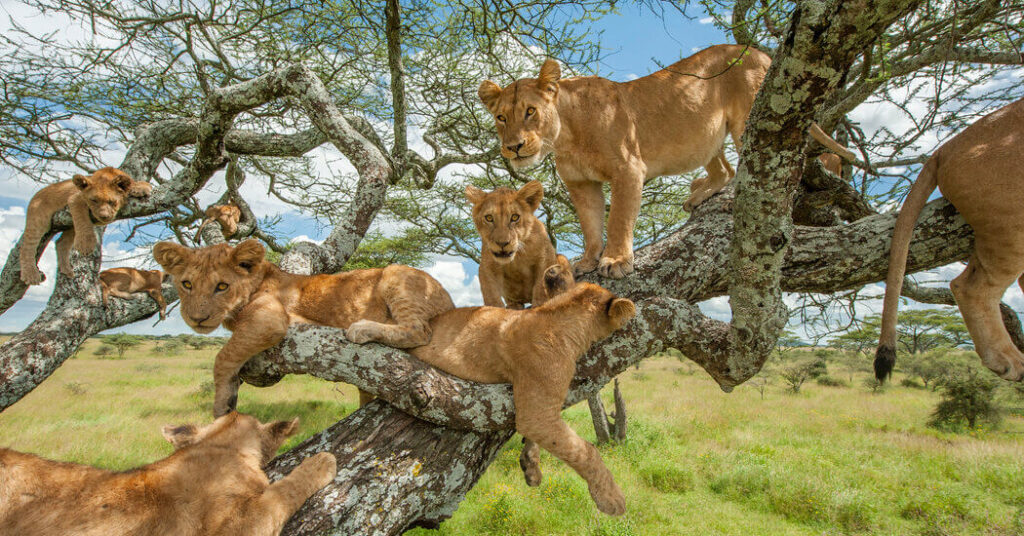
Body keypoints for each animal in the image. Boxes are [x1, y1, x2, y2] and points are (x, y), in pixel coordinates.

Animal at [19, 167, 152, 285]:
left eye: (111, 201)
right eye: (94, 200)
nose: (104, 216)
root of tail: (36, 194)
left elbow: (136, 183)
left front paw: (140, 187)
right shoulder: (75, 198)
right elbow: (82, 219)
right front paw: (86, 244)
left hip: (70, 227)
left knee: (61, 243)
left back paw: (66, 270)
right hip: (38, 220)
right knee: (27, 247)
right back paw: (30, 275)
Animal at [153, 239, 454, 416]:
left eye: (222, 286)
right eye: (187, 284)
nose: (197, 318)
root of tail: (449, 299)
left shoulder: (271, 320)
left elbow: (223, 356)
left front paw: (221, 406)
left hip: (395, 272)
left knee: (418, 330)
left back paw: (362, 328)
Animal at [465, 180, 575, 309]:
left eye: (514, 217)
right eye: (489, 218)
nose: (502, 243)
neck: (517, 256)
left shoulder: (546, 257)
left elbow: (540, 287)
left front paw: (539, 305)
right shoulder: (487, 265)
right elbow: (491, 294)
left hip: (561, 259)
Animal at [478, 45, 854, 278]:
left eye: (530, 111)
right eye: (500, 117)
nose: (513, 147)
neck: (566, 137)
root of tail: (758, 52)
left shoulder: (628, 169)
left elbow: (618, 219)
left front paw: (615, 260)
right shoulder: (580, 183)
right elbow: (590, 224)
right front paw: (588, 259)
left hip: (754, 118)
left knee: (764, 166)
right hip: (707, 138)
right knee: (726, 169)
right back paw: (700, 195)